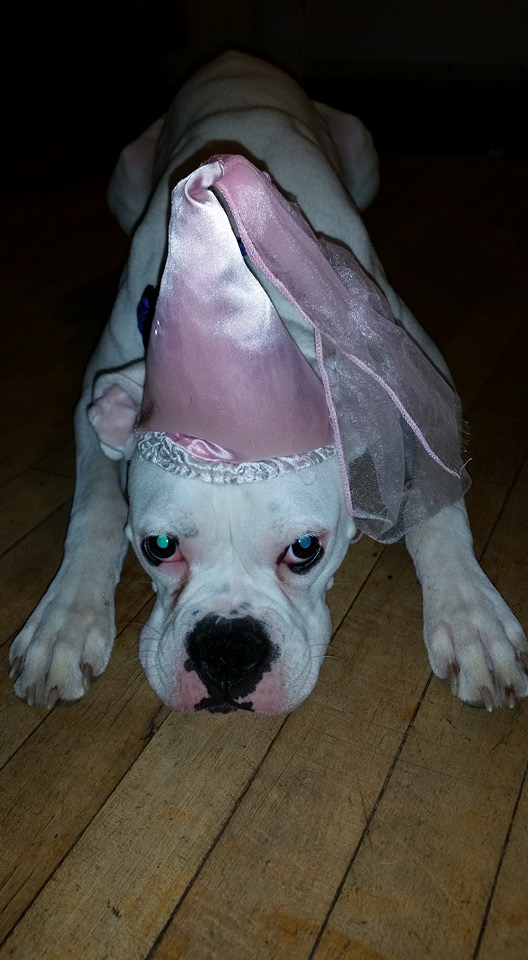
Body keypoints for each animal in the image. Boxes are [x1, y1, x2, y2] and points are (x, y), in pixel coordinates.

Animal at [9, 50, 528, 712]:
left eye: (306, 550)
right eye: (158, 548)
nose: (228, 651)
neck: (258, 296)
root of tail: (236, 57)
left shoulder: (419, 375)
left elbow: (438, 505)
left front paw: (471, 618)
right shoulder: (94, 397)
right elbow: (94, 507)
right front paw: (65, 623)